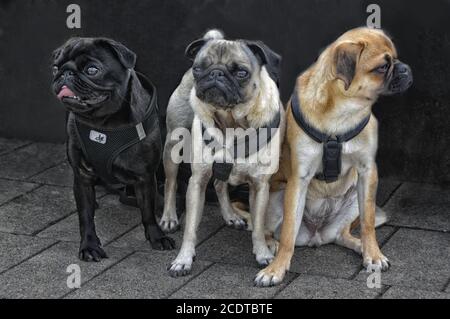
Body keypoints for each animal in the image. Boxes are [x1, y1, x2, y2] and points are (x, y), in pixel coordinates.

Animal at [253, 27, 412, 288]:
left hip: (355, 199)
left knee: (344, 234)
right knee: (270, 231)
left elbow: (368, 225)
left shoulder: (368, 172)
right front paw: (276, 269)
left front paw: (373, 253)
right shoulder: (299, 180)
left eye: (396, 59)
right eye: (382, 67)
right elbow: (287, 233)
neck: (344, 109)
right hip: (277, 196)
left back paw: (360, 246)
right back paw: (270, 246)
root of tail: (317, 236)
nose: (406, 69)